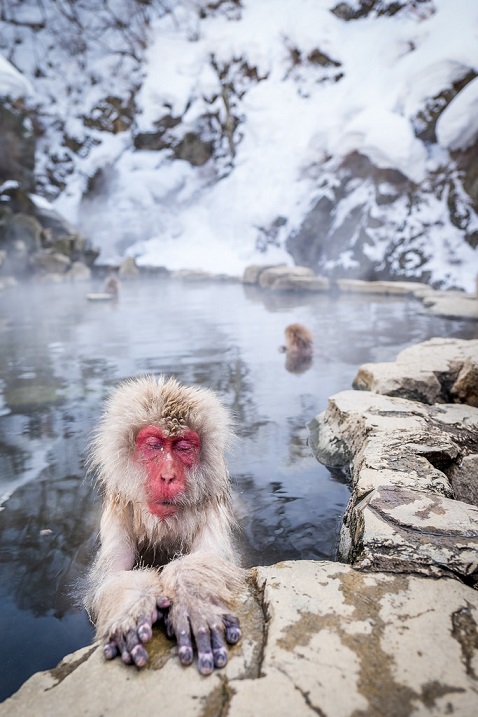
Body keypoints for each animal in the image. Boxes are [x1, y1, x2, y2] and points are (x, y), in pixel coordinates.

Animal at [82, 378, 245, 676]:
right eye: (154, 445)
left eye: (183, 447)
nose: (168, 476)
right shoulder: (117, 513)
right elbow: (108, 579)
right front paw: (131, 608)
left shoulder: (211, 509)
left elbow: (213, 559)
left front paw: (193, 599)